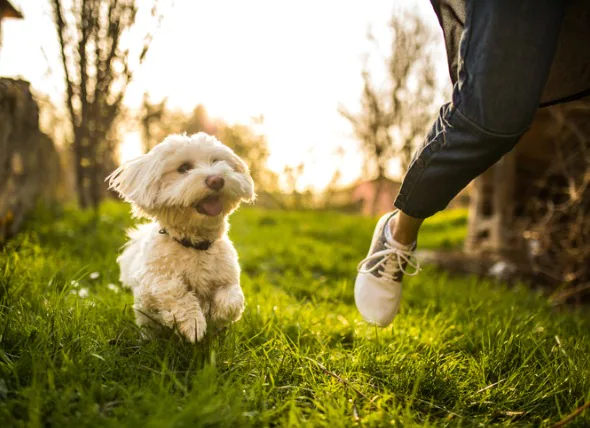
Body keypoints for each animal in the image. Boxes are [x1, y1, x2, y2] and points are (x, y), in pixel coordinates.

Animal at [108, 132, 254, 342]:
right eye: (183, 168)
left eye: (216, 161)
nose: (216, 180)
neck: (195, 245)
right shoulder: (151, 283)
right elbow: (175, 292)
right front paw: (193, 324)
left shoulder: (228, 277)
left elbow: (232, 298)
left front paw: (216, 314)